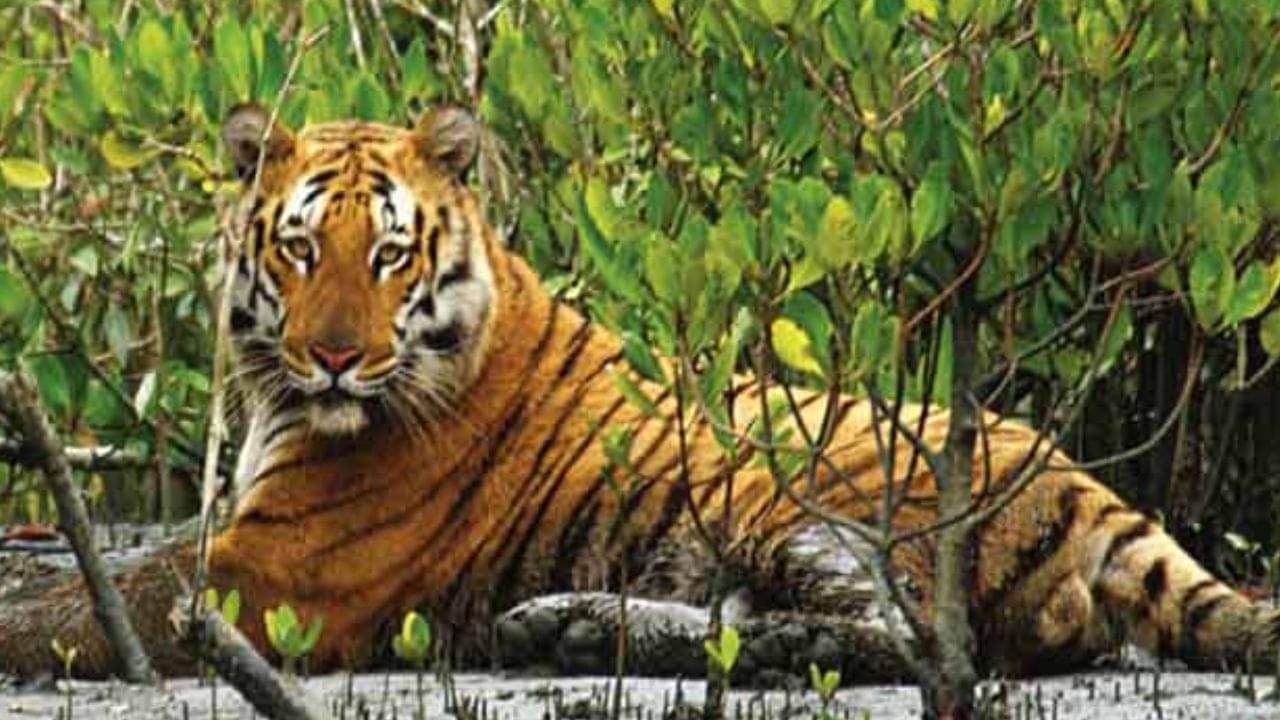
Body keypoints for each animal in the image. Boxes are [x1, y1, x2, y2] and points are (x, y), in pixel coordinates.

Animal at [0, 105, 1276, 683]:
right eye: (303, 250)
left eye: (390, 256)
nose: (333, 360)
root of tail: (1099, 495)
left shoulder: (275, 574)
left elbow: (83, 603)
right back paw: (557, 623)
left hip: (796, 487)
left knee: (908, 644)